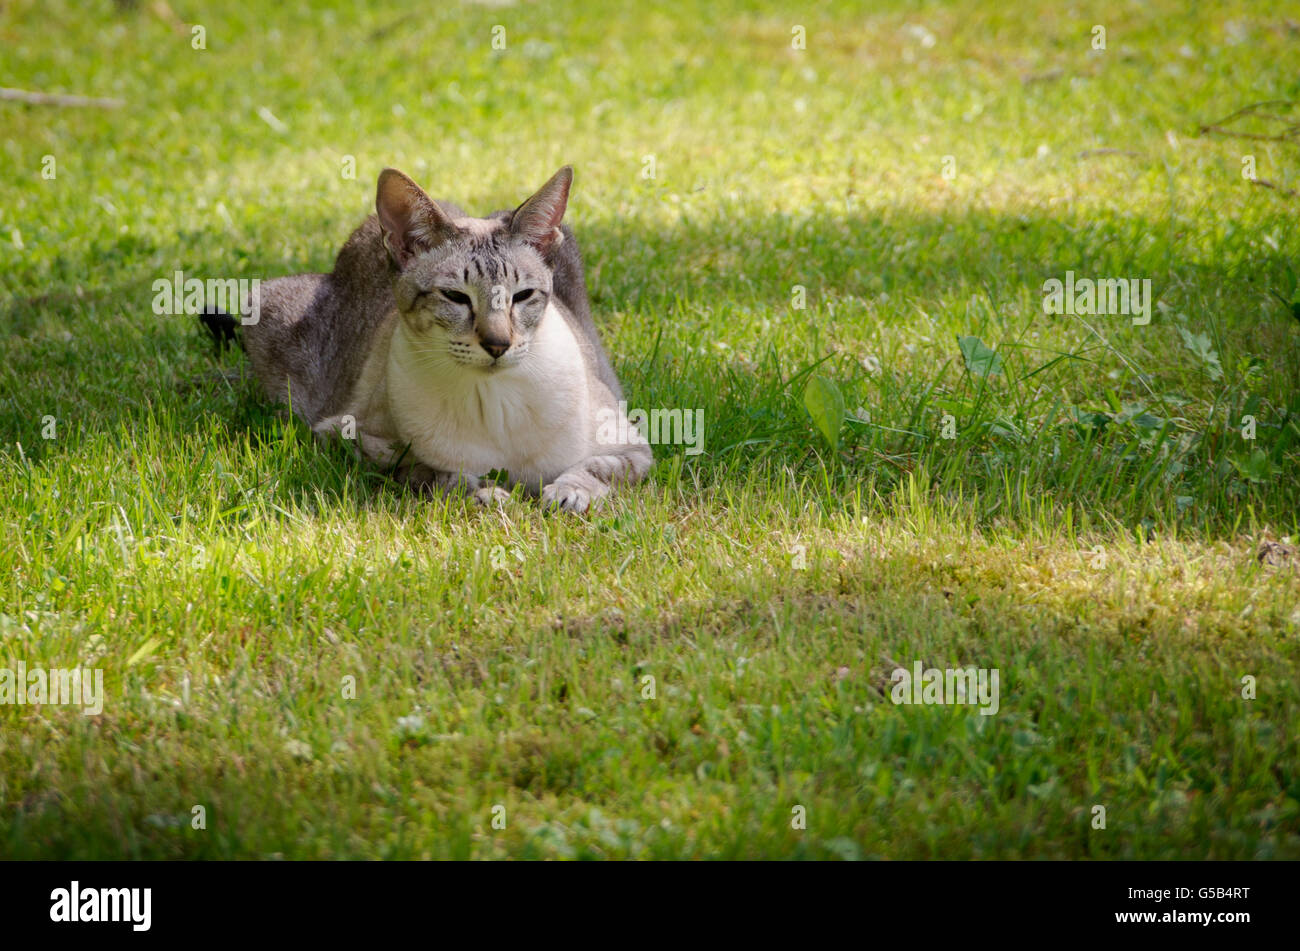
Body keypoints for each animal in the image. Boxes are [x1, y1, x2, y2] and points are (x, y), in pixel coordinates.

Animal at [209, 168, 655, 511]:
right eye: (456, 297)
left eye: (523, 296)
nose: (498, 344)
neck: (495, 403)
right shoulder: (345, 435)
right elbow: (436, 473)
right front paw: (487, 496)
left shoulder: (633, 446)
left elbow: (594, 469)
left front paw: (567, 494)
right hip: (264, 309)